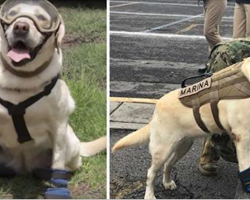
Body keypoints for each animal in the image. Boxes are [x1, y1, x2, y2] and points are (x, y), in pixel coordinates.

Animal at [0, 0, 105, 178]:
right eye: (12, 14)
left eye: (42, 18)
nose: (20, 27)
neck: (21, 81)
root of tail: (25, 167)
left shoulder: (59, 125)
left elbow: (57, 160)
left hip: (70, 142)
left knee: (72, 163)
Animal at [113, 58, 250, 198]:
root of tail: (156, 109)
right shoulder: (243, 139)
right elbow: (246, 168)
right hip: (162, 149)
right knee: (151, 173)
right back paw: (149, 195)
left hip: (183, 145)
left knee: (168, 164)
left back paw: (167, 183)